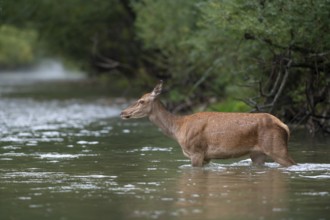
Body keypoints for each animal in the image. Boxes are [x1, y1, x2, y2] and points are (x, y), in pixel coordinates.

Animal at [120, 81, 296, 167]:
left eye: (141, 101)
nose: (123, 112)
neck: (178, 128)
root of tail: (285, 126)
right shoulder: (207, 157)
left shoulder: (196, 151)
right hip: (258, 153)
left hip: (277, 148)